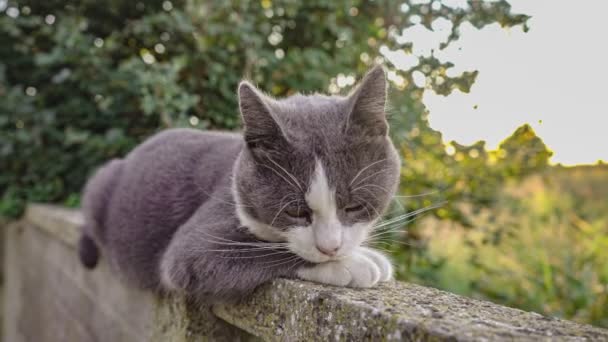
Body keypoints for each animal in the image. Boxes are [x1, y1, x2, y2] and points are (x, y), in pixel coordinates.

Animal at [79, 66, 404, 302]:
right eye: (295, 212)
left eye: (354, 206)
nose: (330, 249)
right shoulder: (199, 236)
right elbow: (259, 249)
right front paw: (355, 263)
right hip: (101, 183)